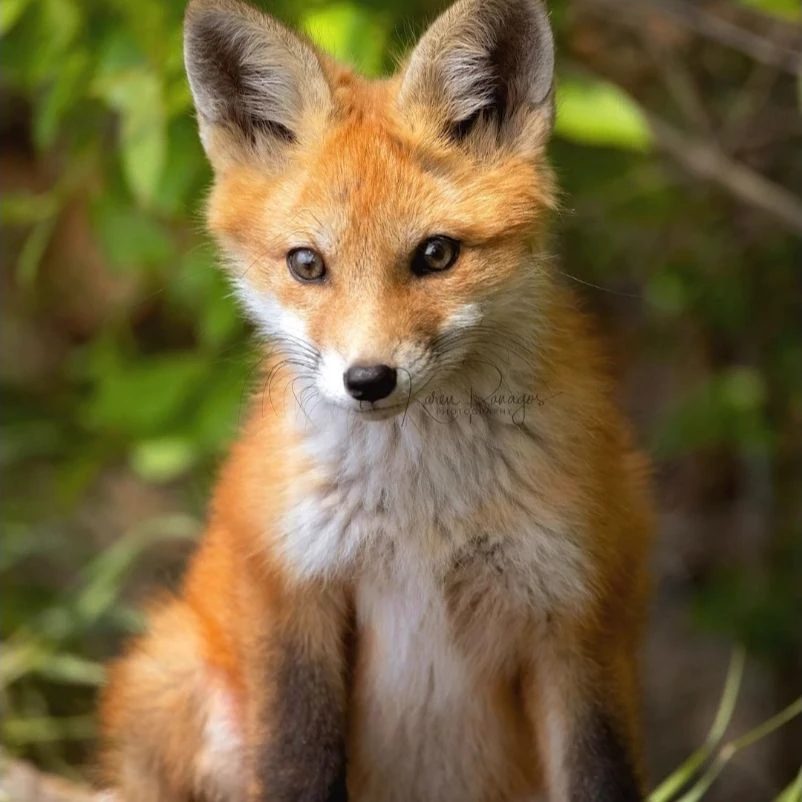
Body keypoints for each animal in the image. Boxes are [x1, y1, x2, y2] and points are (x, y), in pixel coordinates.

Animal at [97, 0, 654, 800]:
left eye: (436, 255)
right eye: (307, 264)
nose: (368, 380)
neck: (421, 513)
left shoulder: (578, 621)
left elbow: (598, 776)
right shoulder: (293, 595)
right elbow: (300, 770)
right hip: (171, 681)